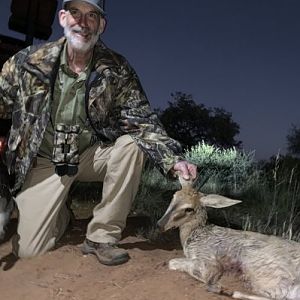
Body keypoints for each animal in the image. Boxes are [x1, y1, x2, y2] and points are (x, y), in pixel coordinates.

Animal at [157, 177, 300, 300]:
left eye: (189, 209)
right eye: (174, 196)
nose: (160, 224)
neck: (195, 234)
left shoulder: (208, 262)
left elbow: (173, 263)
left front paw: (217, 286)